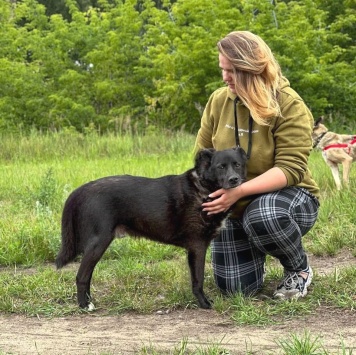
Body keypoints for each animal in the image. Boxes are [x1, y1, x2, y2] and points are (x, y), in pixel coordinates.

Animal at [55, 147, 248, 308]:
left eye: (237, 165)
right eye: (220, 167)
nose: (234, 180)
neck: (204, 188)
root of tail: (82, 189)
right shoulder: (197, 246)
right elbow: (198, 280)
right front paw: (203, 303)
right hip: (99, 241)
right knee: (82, 276)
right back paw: (84, 305)